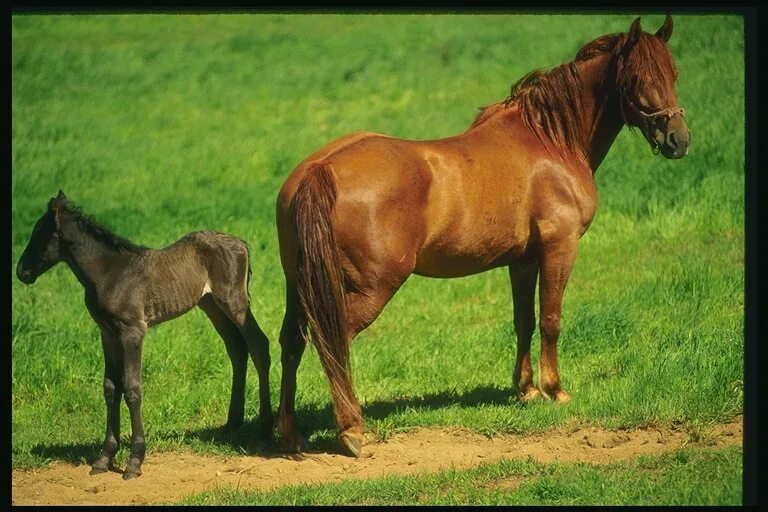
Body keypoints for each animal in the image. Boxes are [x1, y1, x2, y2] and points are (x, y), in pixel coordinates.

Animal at [274, 16, 688, 458]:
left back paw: (291, 433)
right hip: (371, 288)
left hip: (300, 284)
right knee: (333, 341)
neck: (550, 142)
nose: (679, 141)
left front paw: (527, 390)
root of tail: (322, 169)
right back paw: (351, 429)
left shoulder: (523, 259)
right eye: (638, 79)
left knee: (293, 341)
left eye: (674, 74)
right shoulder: (560, 247)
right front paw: (555, 390)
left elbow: (524, 320)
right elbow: (551, 319)